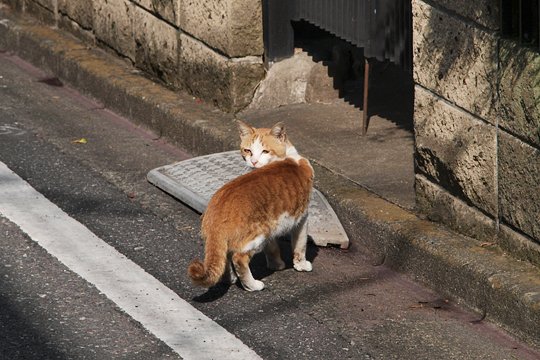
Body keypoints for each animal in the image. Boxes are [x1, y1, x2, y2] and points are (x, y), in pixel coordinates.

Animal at [188, 119, 314, 292]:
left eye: (265, 151)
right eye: (248, 150)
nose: (254, 161)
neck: (287, 158)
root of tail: (216, 210)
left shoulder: (273, 225)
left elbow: (272, 248)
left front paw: (276, 264)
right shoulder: (302, 217)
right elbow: (300, 244)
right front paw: (301, 265)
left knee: (225, 256)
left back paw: (230, 279)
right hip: (258, 233)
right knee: (238, 257)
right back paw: (252, 285)